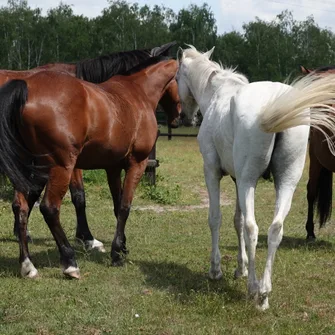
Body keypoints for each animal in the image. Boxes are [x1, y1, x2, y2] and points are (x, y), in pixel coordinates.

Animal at [0, 56, 180, 280]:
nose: (180, 116)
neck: (137, 92)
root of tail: (27, 88)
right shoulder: (137, 164)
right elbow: (124, 206)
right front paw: (116, 253)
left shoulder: (112, 168)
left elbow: (116, 205)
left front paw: (121, 246)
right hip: (61, 167)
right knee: (49, 208)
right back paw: (70, 262)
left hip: (31, 169)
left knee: (21, 206)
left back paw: (27, 265)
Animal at [177, 45, 335, 312]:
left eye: (177, 76)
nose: (187, 118)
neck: (217, 94)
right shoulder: (236, 180)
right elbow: (237, 221)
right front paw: (239, 268)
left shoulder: (213, 172)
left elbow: (217, 219)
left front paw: (216, 269)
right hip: (284, 184)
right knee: (274, 229)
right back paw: (264, 294)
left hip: (249, 181)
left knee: (253, 229)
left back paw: (253, 288)